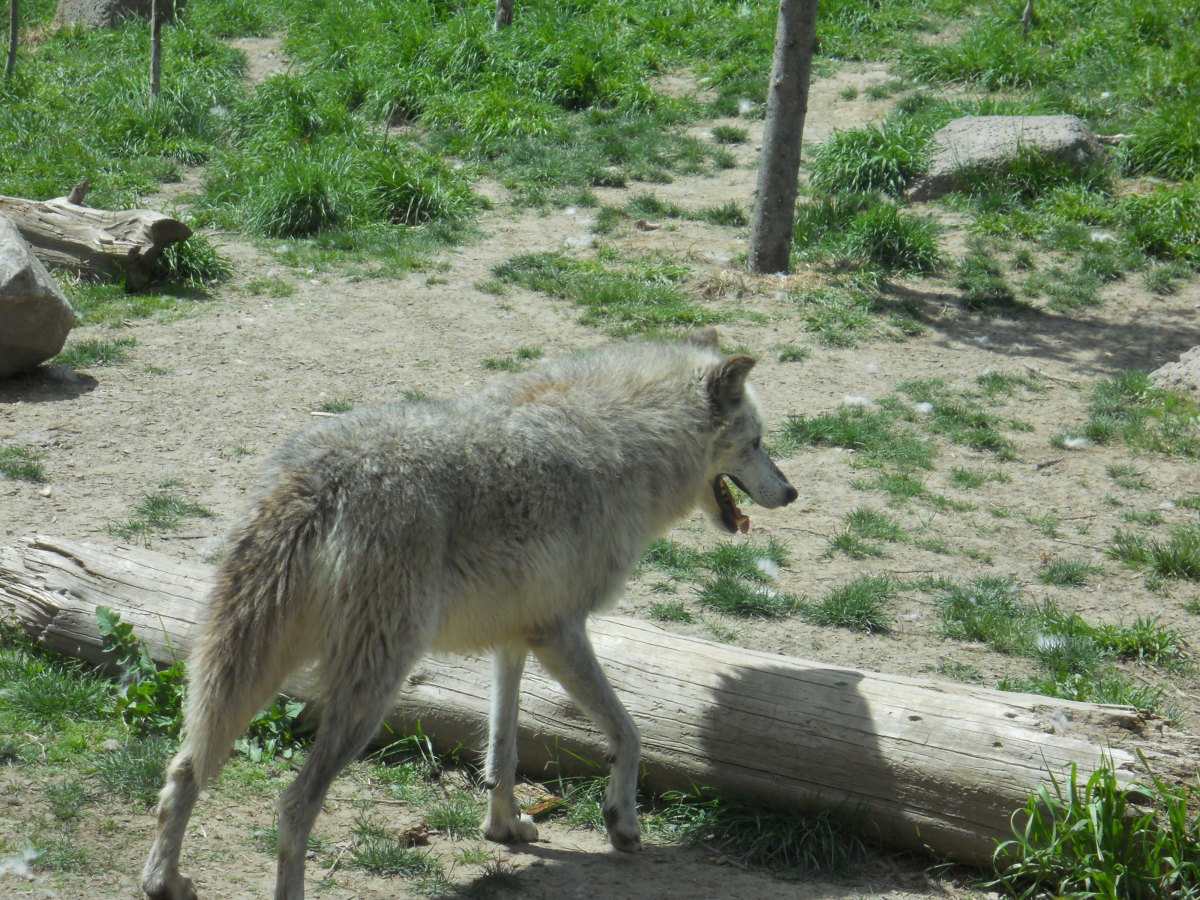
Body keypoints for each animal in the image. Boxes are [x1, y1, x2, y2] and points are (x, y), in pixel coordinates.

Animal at [140, 331, 796, 900]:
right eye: (759, 442)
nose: (791, 493)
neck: (627, 443)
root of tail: (317, 480)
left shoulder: (515, 641)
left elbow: (502, 749)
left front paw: (505, 828)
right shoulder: (562, 631)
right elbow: (629, 735)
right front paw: (623, 824)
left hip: (242, 677)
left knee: (181, 771)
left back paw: (164, 883)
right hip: (368, 693)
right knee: (294, 804)